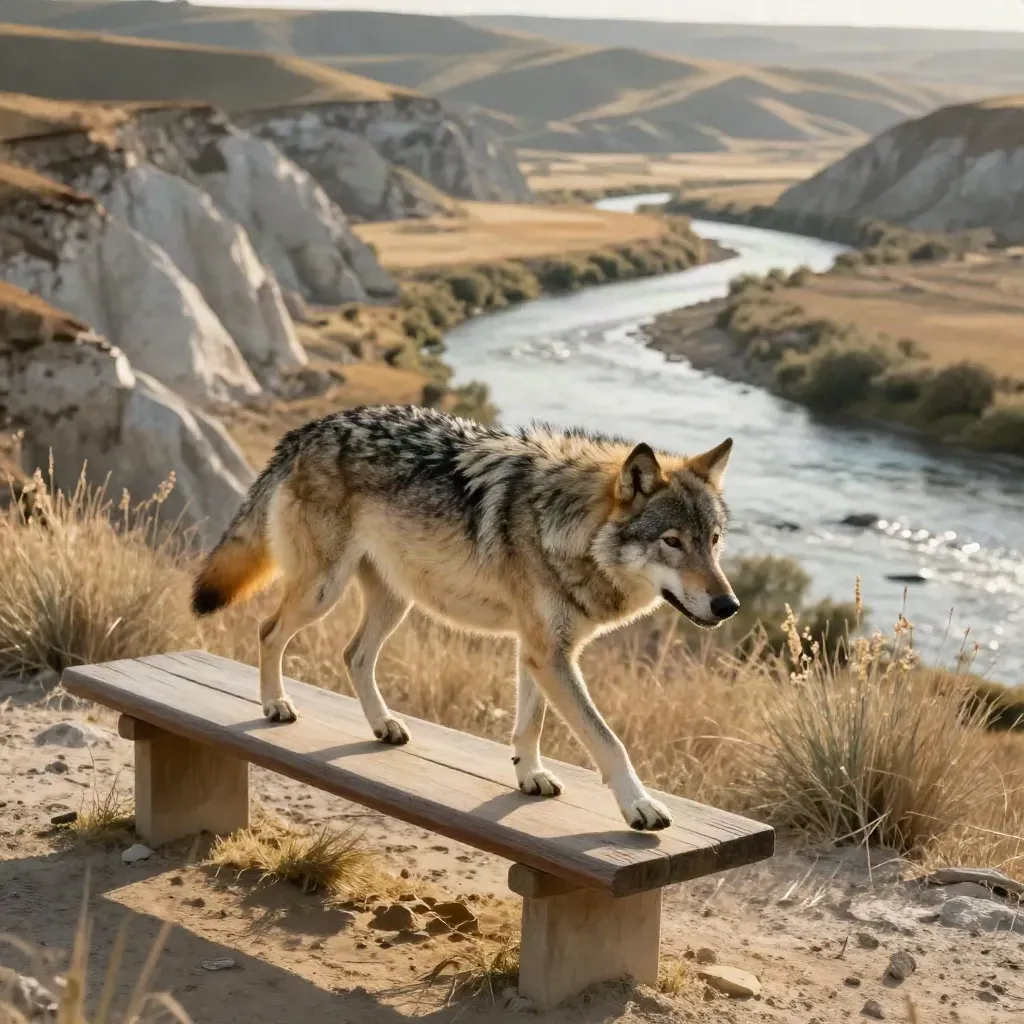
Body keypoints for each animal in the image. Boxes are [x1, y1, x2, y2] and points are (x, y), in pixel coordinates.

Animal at [191, 405, 739, 831]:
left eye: (712, 541)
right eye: (672, 541)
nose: (728, 606)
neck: (566, 525)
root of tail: (311, 427)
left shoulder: (541, 651)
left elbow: (530, 725)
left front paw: (529, 775)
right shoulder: (549, 653)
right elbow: (608, 741)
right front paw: (639, 806)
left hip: (395, 602)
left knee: (353, 655)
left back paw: (383, 725)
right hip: (323, 592)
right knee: (269, 631)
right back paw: (275, 704)